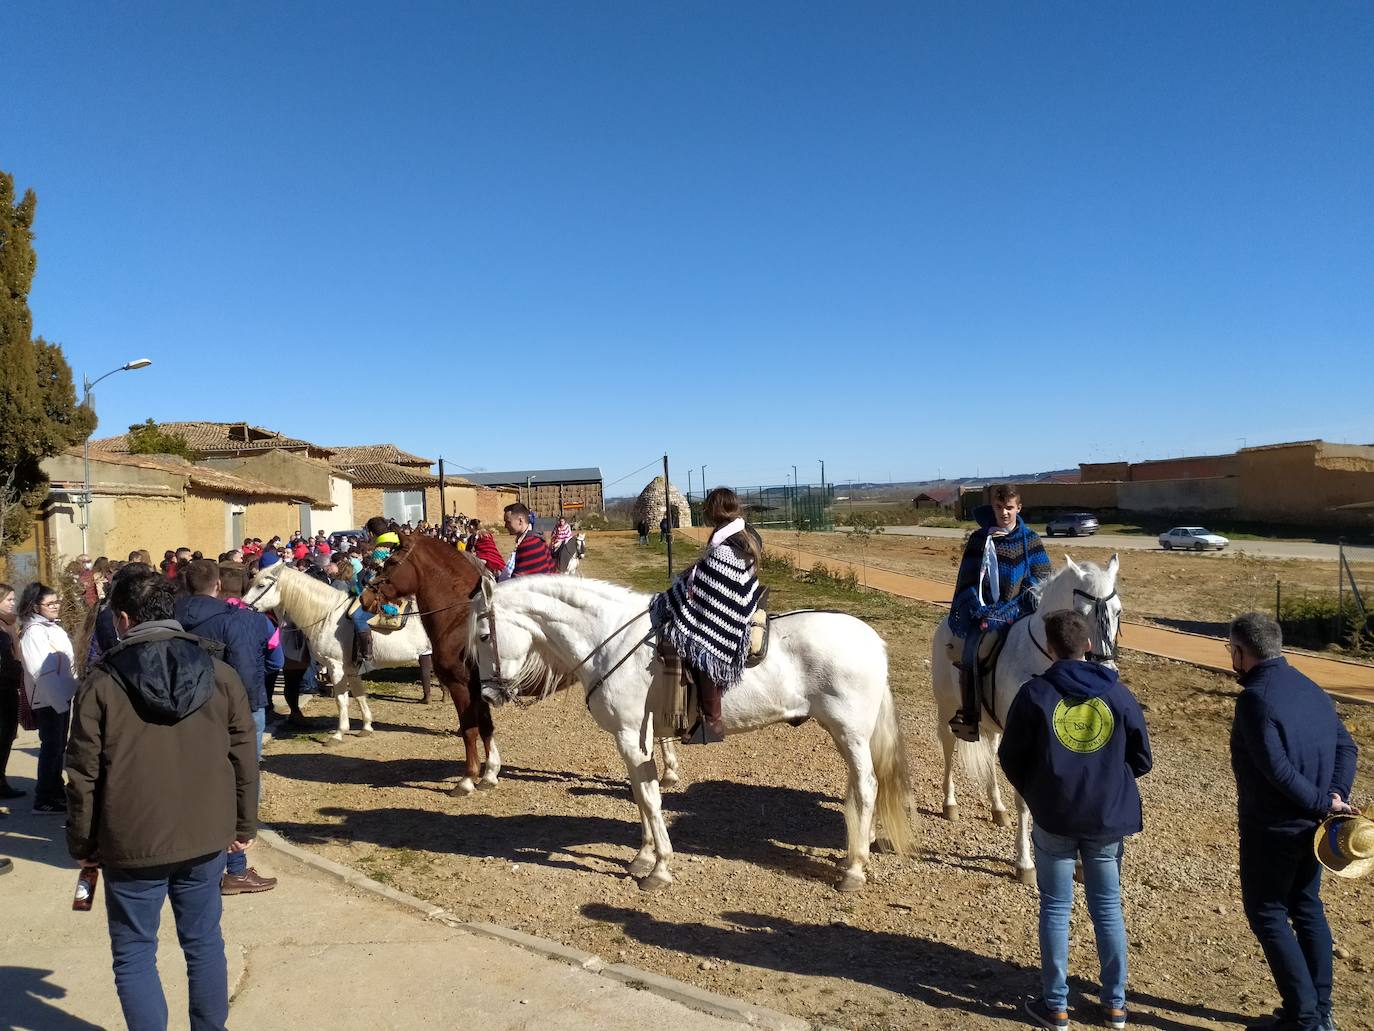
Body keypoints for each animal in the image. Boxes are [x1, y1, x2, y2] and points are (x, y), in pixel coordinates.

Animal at [241, 566, 431, 742]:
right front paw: (366, 726)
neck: (327, 615)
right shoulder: (351, 668)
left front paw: (339, 733)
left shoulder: (335, 666)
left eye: (260, 585)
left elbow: (341, 699)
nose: (242, 605)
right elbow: (359, 694)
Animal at [464, 577, 912, 890]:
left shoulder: (630, 736)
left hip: (849, 732)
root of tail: (871, 638)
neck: (610, 640)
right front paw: (643, 856)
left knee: (867, 786)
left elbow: (649, 798)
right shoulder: (634, 741)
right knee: (860, 787)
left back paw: (854, 869)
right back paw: (856, 850)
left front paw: (659, 868)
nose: (487, 693)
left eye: (484, 636)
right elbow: (641, 796)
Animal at [928, 558, 1121, 890]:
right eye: (1081, 615)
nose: (1106, 671)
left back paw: (997, 809)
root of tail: (945, 627)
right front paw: (1024, 864)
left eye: (1118, 611)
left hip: (992, 726)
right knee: (949, 751)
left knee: (990, 757)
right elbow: (1024, 803)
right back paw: (950, 804)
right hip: (946, 710)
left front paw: (1080, 864)